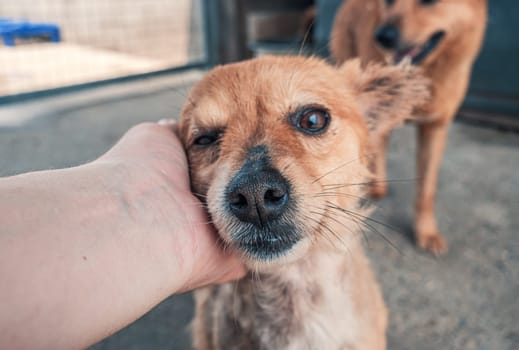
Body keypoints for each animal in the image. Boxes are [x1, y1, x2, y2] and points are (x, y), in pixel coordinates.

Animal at [332, 0, 490, 254]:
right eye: (388, 1)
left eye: (429, 1)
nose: (383, 37)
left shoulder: (434, 129)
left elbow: (426, 188)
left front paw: (426, 232)